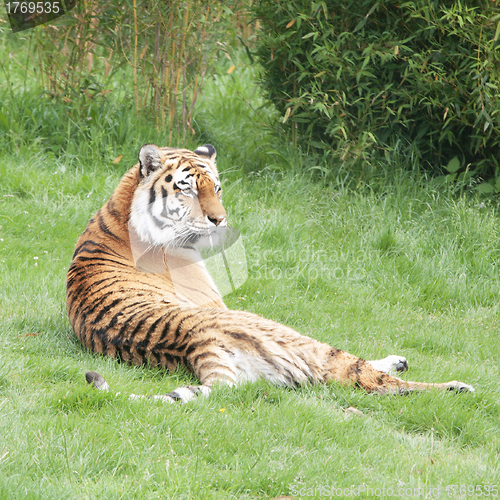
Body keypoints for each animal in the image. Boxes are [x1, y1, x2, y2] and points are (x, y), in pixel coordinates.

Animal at [65, 143, 472, 400]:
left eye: (216, 187)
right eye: (188, 190)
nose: (219, 220)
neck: (123, 210)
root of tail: (197, 345)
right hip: (289, 336)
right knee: (369, 380)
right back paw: (457, 388)